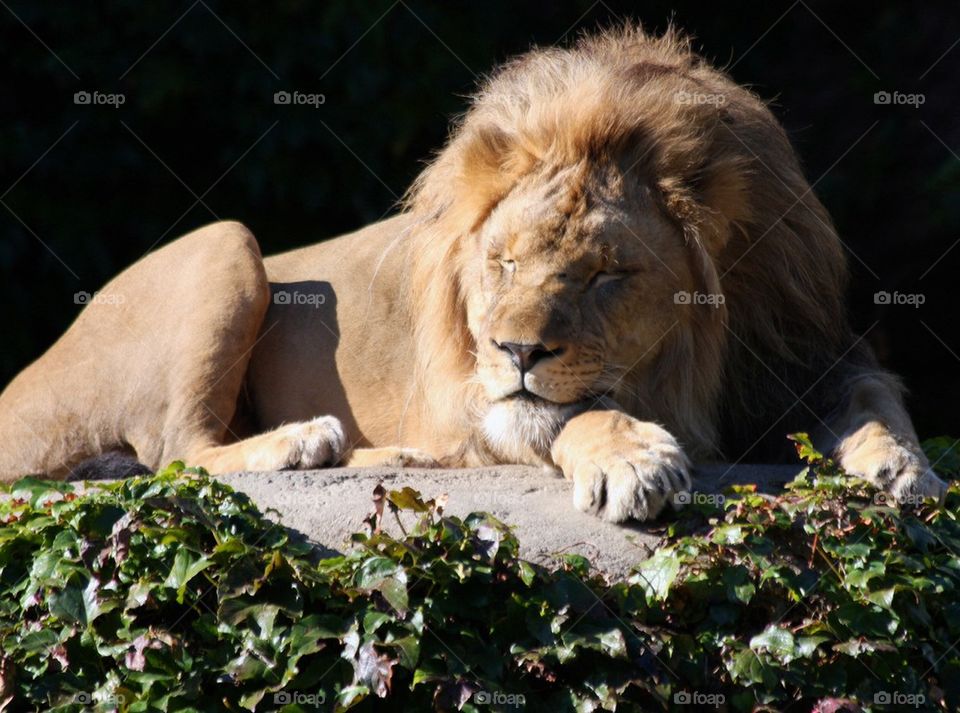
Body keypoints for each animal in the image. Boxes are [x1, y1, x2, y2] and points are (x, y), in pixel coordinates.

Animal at [0, 27, 946, 521]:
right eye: (504, 262)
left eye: (607, 273)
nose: (517, 350)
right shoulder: (480, 390)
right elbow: (568, 413)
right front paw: (632, 457)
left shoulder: (800, 342)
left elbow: (874, 394)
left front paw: (903, 466)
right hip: (226, 243)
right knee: (176, 452)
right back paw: (308, 441)